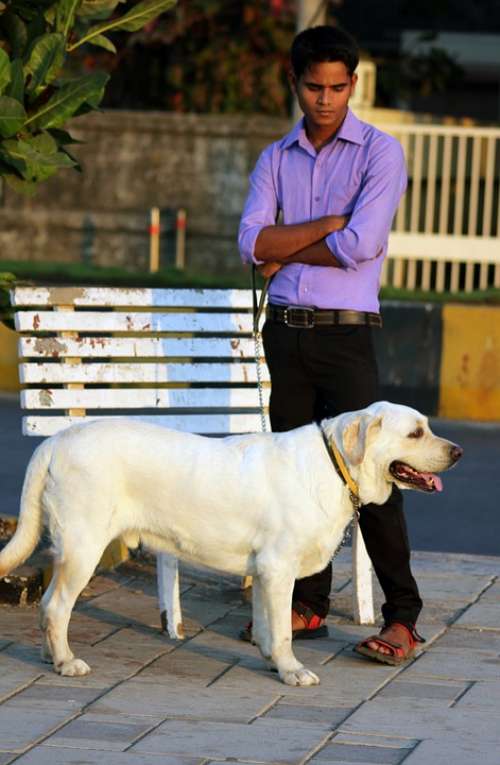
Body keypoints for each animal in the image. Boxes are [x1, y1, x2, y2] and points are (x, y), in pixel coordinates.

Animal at [0, 400, 460, 688]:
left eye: (427, 428)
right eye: (416, 433)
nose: (457, 452)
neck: (337, 465)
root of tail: (54, 441)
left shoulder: (264, 572)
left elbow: (268, 628)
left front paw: (273, 663)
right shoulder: (278, 568)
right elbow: (283, 632)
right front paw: (292, 671)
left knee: (49, 609)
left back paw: (49, 655)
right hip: (84, 546)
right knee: (55, 606)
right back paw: (65, 661)